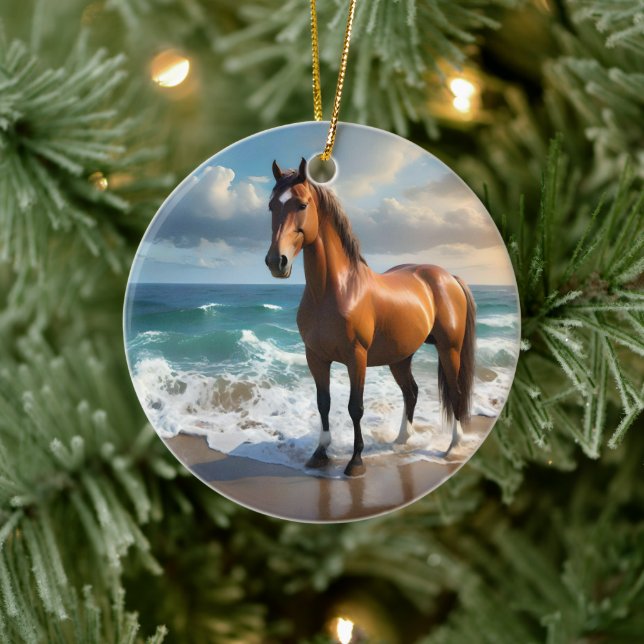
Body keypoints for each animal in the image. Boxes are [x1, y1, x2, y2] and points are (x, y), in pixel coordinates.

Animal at [264, 158, 476, 477]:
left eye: (301, 205)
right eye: (271, 206)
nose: (277, 262)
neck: (335, 290)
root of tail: (448, 277)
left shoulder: (357, 357)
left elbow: (356, 407)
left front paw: (355, 461)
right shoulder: (316, 357)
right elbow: (323, 403)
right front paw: (320, 453)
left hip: (449, 349)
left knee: (455, 392)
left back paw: (453, 446)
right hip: (401, 356)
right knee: (411, 392)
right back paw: (401, 439)